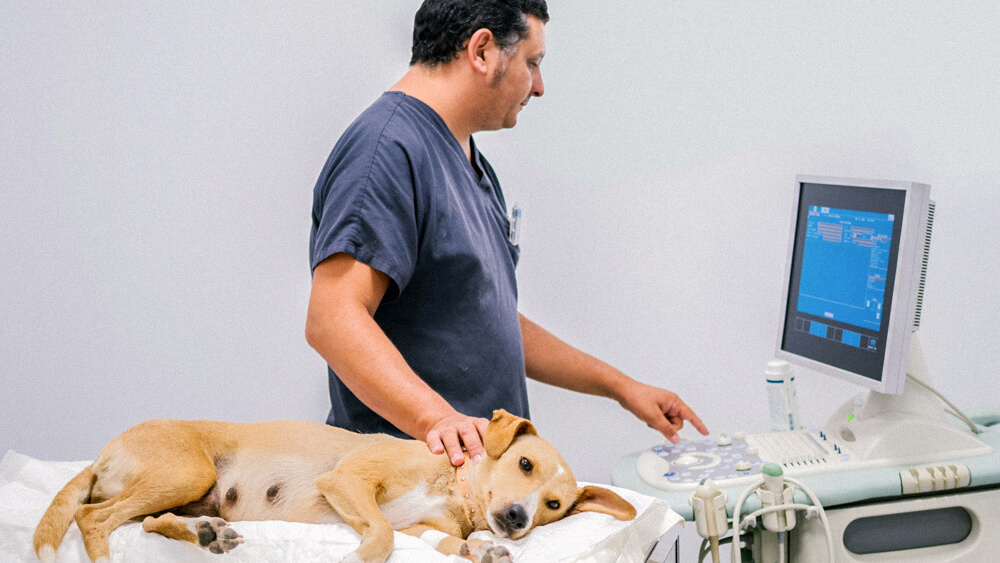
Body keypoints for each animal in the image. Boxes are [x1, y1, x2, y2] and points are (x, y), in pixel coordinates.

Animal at [35, 410, 636, 563]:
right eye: (526, 463)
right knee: (93, 518)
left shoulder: (423, 528)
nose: (516, 520)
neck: (453, 485)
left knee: (150, 521)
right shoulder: (346, 481)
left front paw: (481, 549)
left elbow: (438, 540)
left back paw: (207, 533)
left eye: (554, 505)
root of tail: (103, 452)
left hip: (186, 493)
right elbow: (380, 535)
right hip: (188, 472)